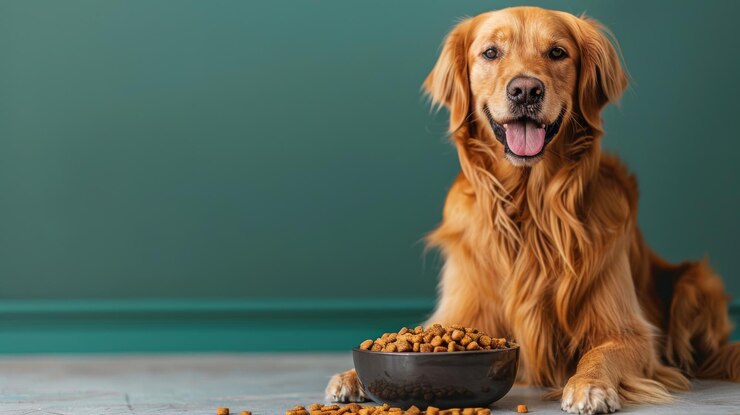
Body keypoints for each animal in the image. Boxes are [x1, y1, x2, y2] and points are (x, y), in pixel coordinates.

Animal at [328, 5, 740, 412]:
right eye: (491, 52)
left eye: (557, 52)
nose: (525, 89)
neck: (528, 205)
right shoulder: (460, 313)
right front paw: (351, 376)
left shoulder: (628, 330)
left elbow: (599, 353)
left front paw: (589, 385)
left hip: (697, 283)